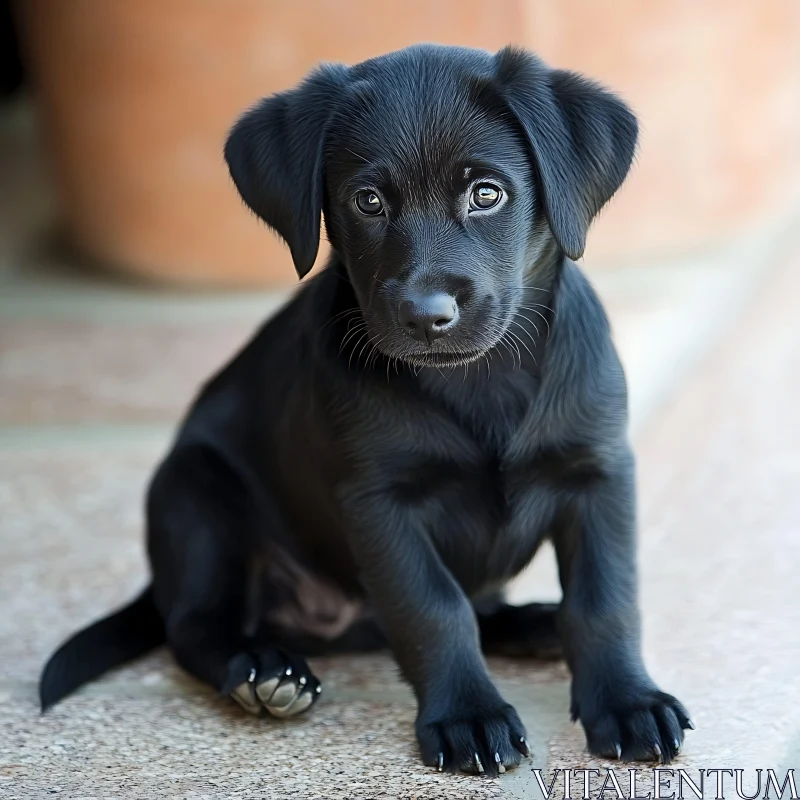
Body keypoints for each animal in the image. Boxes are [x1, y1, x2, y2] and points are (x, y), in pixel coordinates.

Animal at [42, 43, 692, 776]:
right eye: (369, 201)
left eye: (486, 193)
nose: (426, 315)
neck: (481, 381)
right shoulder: (379, 502)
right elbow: (433, 609)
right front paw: (467, 716)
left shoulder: (598, 472)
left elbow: (604, 600)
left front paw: (627, 701)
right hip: (194, 490)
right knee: (196, 624)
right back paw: (263, 672)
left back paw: (531, 624)